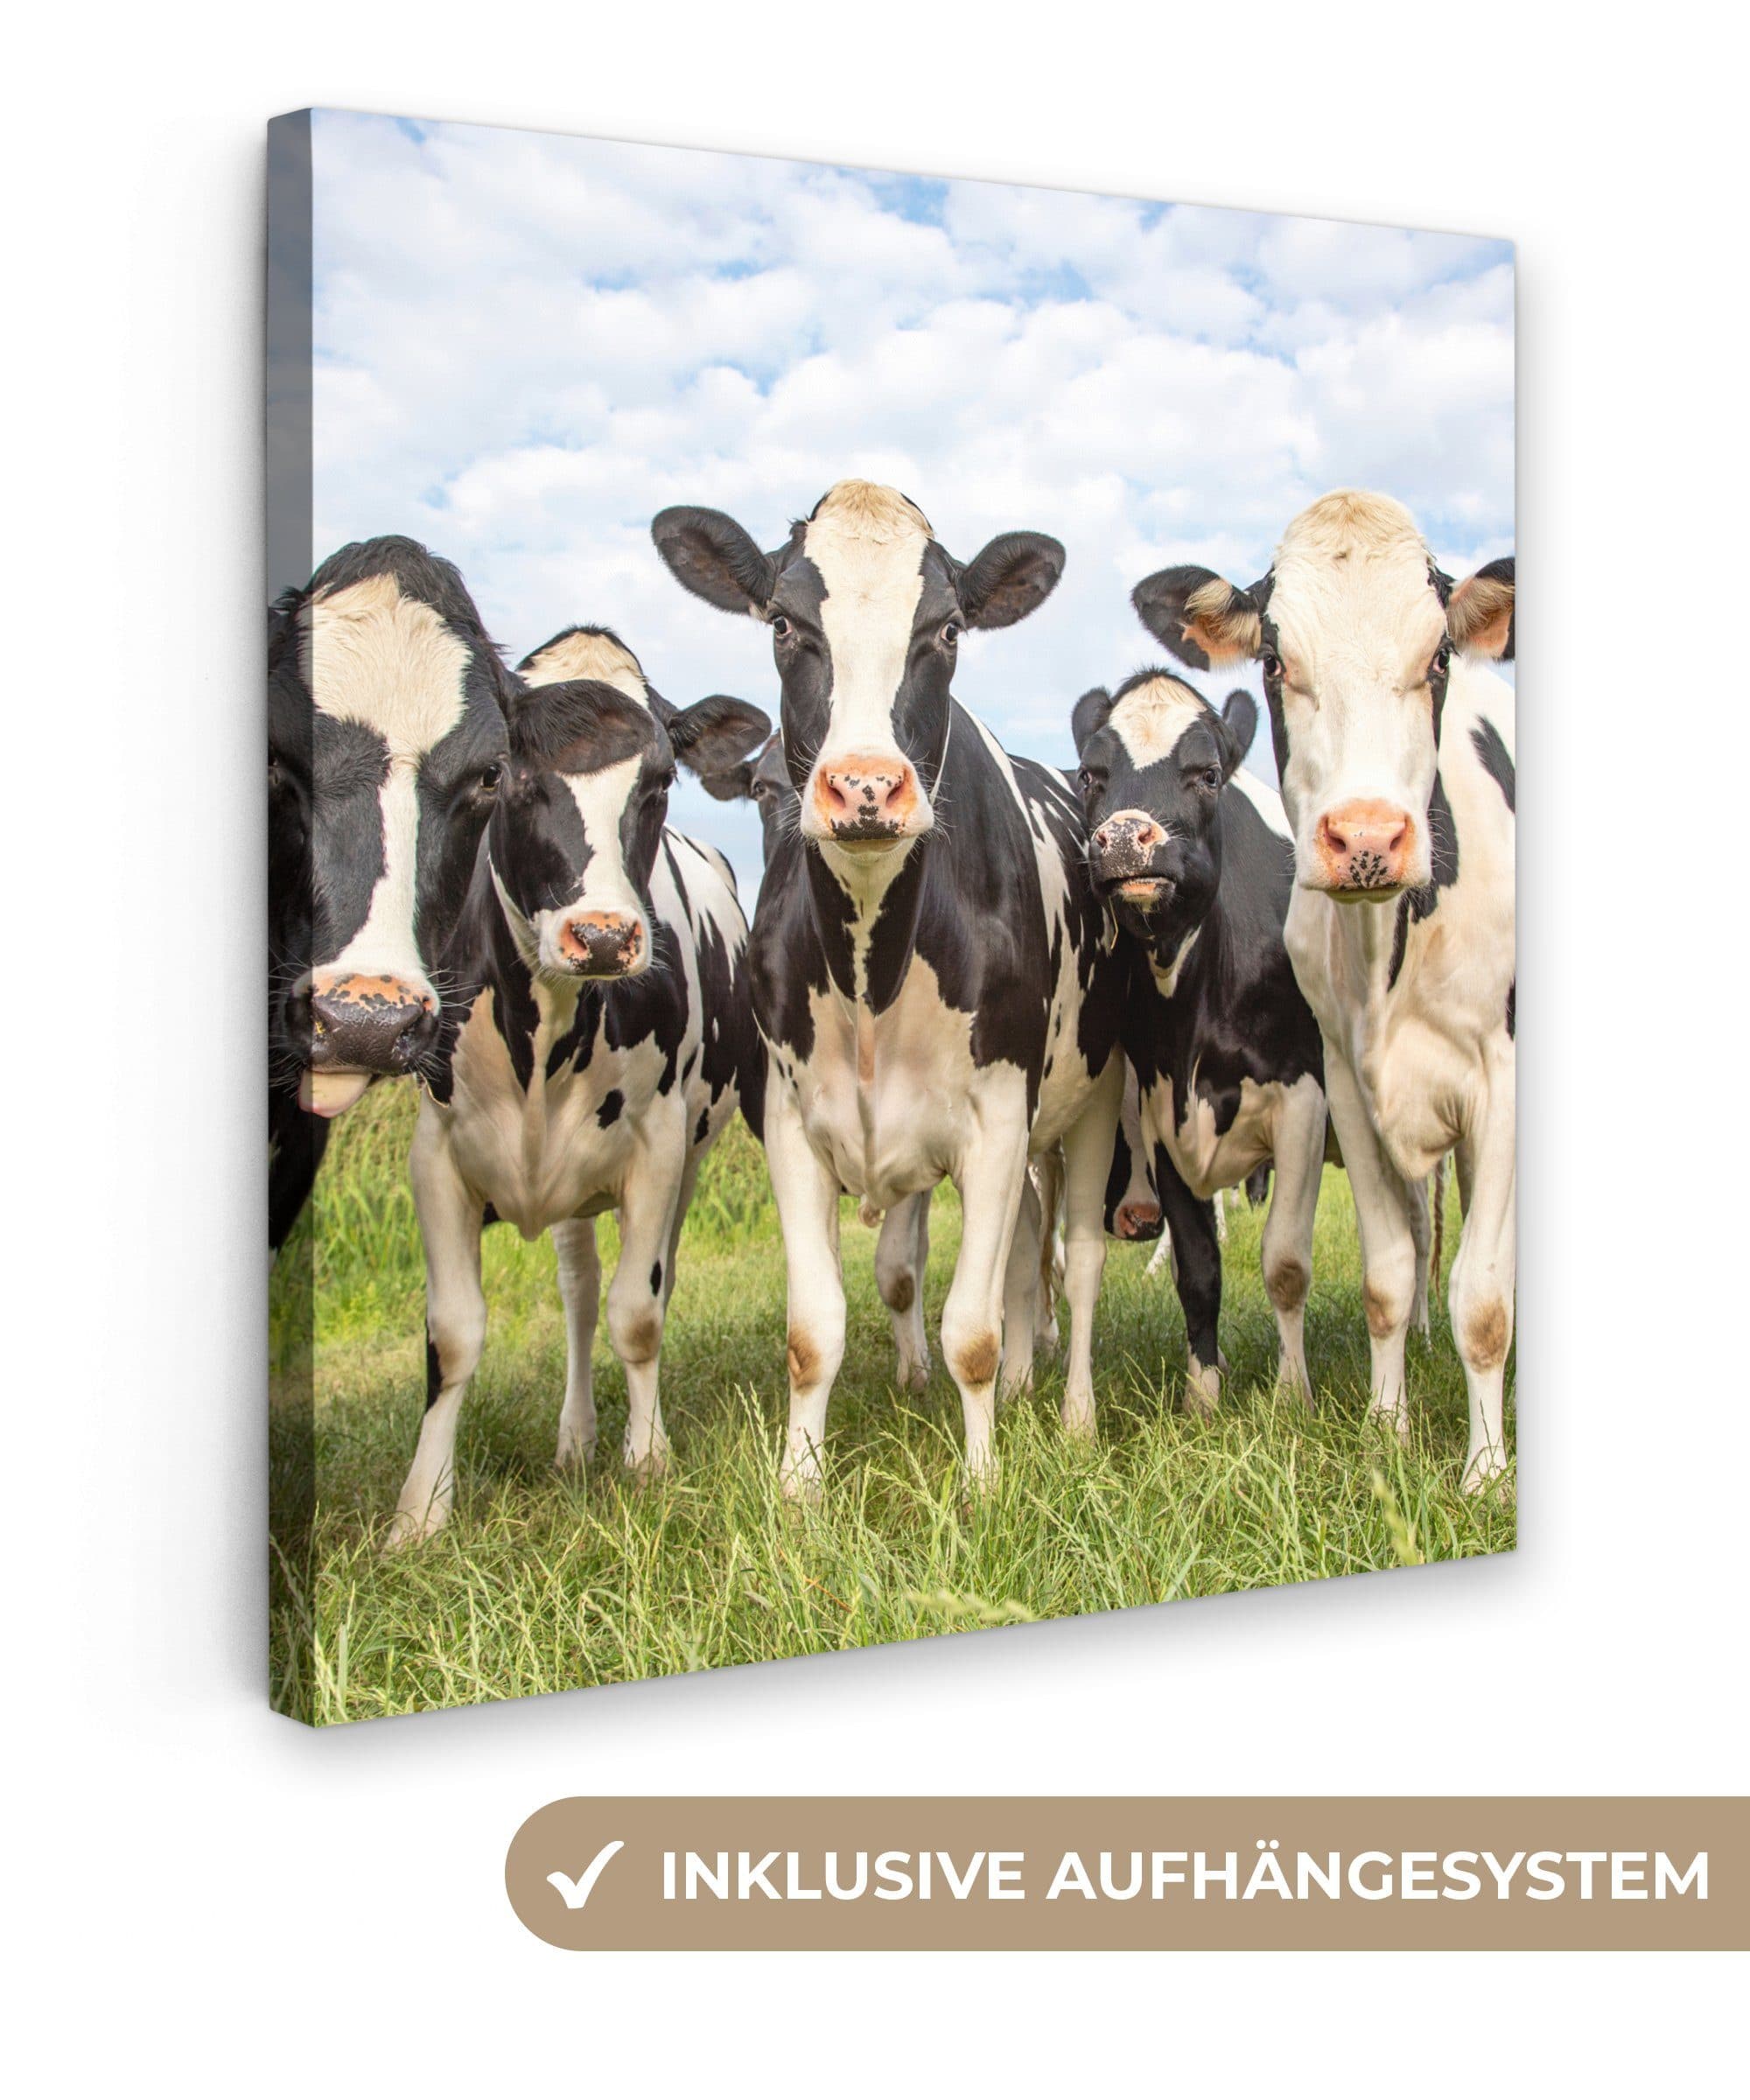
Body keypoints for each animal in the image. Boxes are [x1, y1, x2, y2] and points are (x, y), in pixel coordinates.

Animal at [385, 621, 770, 1543]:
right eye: (505, 774)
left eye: (661, 780)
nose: (601, 937)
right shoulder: (435, 1154)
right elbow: (453, 1334)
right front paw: (421, 1510)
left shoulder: (659, 1146)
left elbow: (639, 1311)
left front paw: (648, 1460)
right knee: (577, 1296)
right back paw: (574, 1437)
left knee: (638, 1282)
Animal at [651, 479, 1126, 1491]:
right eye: (784, 624)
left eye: (945, 629)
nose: (866, 787)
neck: (873, 967)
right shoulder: (792, 1121)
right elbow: (814, 1331)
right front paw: (798, 1487)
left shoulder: (998, 1119)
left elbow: (972, 1331)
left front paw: (982, 1483)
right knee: (1025, 1249)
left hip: (1097, 1095)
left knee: (1080, 1256)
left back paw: (1071, 1414)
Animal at [1071, 670, 1329, 1410]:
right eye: (1090, 774)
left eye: (1208, 774)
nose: (1122, 838)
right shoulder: (1163, 1116)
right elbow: (1199, 1270)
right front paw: (1203, 1397)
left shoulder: (1303, 1099)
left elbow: (1285, 1261)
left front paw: (1293, 1397)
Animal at [1134, 490, 1515, 1489]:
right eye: (1275, 661)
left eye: (1437, 657)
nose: (1367, 837)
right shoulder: (1345, 1076)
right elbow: (1387, 1271)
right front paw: (1386, 1432)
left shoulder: (1499, 1083)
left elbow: (1483, 1298)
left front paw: (1484, 1473)